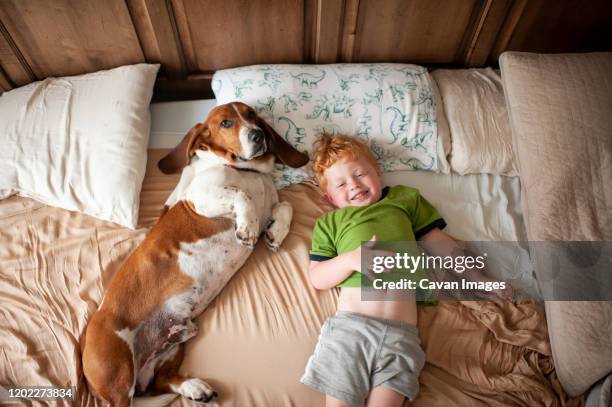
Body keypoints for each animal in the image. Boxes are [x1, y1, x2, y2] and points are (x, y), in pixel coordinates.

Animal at [83, 101, 308, 404]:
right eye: (225, 123)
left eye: (252, 115)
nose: (258, 134)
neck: (247, 172)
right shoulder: (201, 198)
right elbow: (242, 196)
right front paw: (247, 228)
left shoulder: (270, 206)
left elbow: (286, 207)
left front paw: (276, 232)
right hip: (118, 376)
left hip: (174, 345)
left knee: (162, 380)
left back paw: (194, 388)